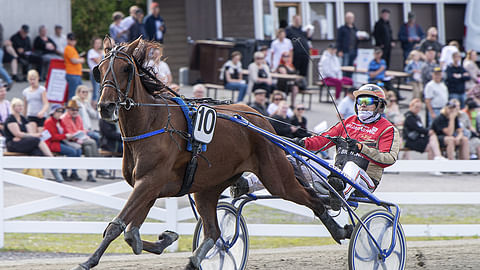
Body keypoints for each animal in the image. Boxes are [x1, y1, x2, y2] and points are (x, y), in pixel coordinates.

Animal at [72, 36, 348, 270]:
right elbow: (131, 233)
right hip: (207, 187)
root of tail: (260, 119)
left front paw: (86, 262)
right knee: (214, 233)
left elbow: (118, 226)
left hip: (276, 178)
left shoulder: (149, 182)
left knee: (312, 198)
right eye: (99, 68)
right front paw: (165, 238)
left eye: (126, 69)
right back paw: (195, 260)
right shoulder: (148, 186)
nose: (106, 106)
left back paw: (340, 230)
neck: (151, 123)